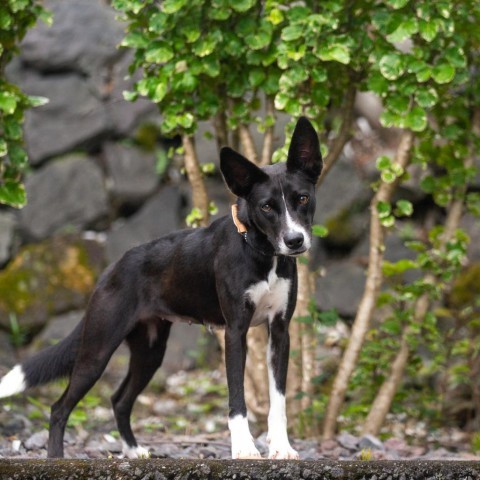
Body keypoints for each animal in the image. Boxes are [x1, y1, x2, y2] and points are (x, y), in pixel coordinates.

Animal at [0, 115, 324, 458]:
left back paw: (133, 451)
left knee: (119, 400)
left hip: (150, 351)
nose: (295, 241)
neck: (262, 253)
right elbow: (237, 400)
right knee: (59, 407)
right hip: (97, 350)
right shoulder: (236, 332)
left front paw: (282, 448)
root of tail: (111, 269)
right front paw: (245, 450)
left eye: (302, 198)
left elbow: (279, 401)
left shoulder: (280, 330)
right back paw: (57, 457)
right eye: (266, 207)